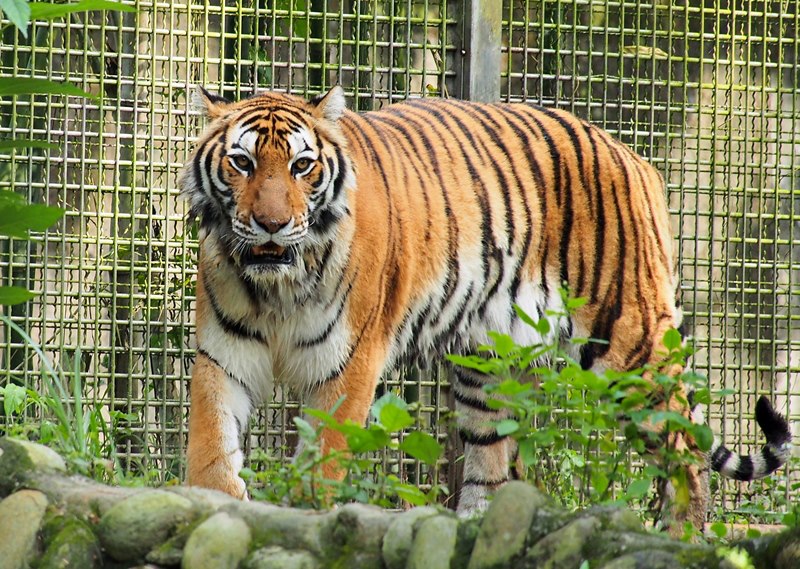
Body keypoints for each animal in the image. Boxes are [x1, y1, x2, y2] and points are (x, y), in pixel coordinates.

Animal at [180, 85, 792, 532]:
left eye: (302, 166)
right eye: (241, 162)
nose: (271, 224)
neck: (275, 287)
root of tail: (635, 159)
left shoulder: (346, 365)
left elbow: (325, 459)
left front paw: (309, 512)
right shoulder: (224, 355)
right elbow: (210, 442)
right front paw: (212, 506)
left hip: (628, 343)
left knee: (685, 444)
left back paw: (683, 532)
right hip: (490, 366)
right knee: (492, 465)